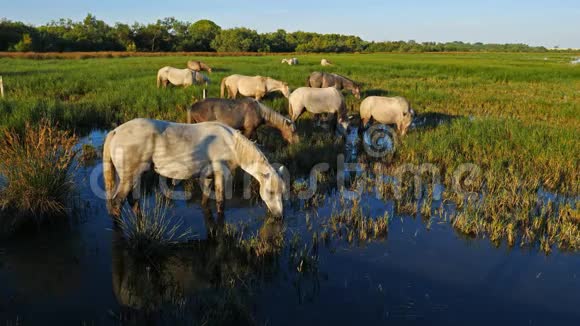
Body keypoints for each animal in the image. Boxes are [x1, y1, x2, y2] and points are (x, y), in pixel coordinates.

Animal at [105, 118, 288, 218]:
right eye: (270, 192)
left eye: (281, 192)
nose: (279, 216)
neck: (232, 145)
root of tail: (115, 131)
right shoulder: (221, 174)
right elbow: (220, 201)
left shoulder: (207, 176)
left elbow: (206, 199)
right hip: (128, 177)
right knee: (117, 203)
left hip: (134, 176)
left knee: (133, 201)